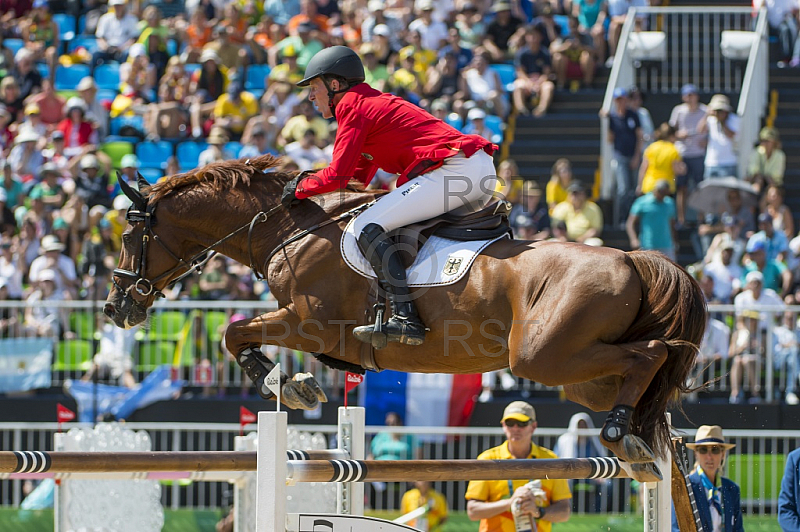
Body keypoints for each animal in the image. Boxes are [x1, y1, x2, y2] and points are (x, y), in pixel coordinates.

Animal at [106, 155, 708, 482]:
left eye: (130, 233)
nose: (116, 307)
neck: (287, 230)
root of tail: (631, 258)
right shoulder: (323, 337)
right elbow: (246, 336)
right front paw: (297, 381)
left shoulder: (308, 322)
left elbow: (233, 332)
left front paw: (286, 382)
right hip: (581, 376)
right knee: (637, 371)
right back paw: (637, 440)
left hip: (544, 358)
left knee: (651, 354)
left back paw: (621, 435)